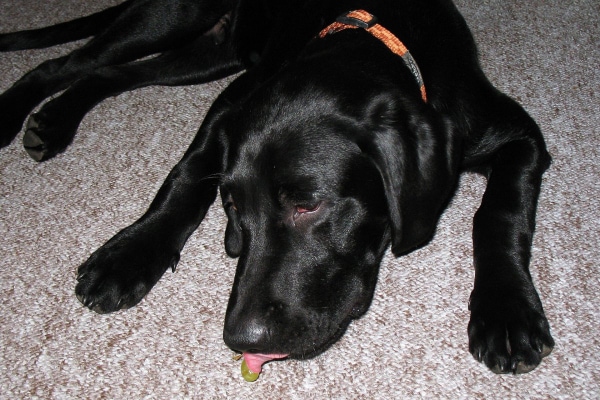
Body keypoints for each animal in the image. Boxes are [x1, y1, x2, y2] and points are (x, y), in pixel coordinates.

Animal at [0, 0, 552, 376]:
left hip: (212, 53)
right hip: (177, 17)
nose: (241, 339)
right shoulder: (231, 106)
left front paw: (506, 313)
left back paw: (53, 118)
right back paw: (27, 114)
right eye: (232, 207)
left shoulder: (520, 136)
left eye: (308, 205)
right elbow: (185, 177)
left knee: (116, 71)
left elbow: (499, 214)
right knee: (68, 62)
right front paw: (129, 253)